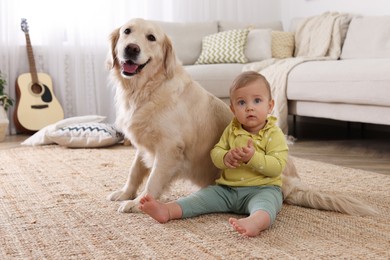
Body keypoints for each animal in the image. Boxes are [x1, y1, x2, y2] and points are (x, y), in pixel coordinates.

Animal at [106, 18, 378, 216]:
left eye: (151, 37)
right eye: (127, 32)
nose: (131, 48)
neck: (146, 89)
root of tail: (295, 185)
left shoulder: (169, 149)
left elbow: (152, 180)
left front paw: (139, 203)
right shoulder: (144, 145)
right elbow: (134, 171)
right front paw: (125, 193)